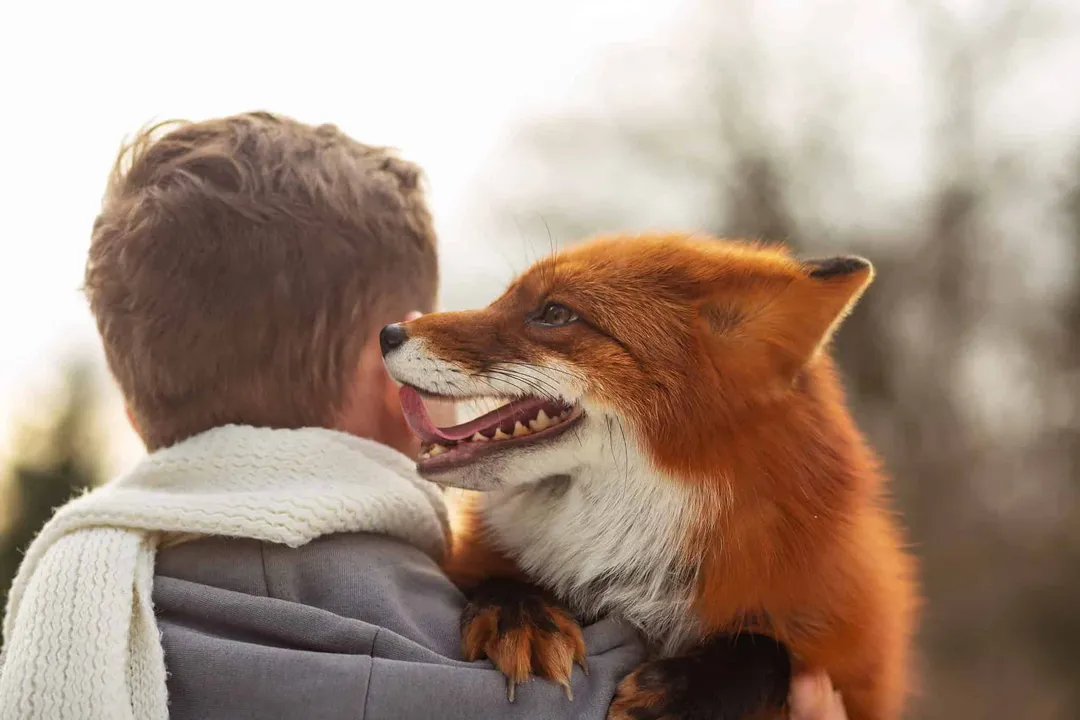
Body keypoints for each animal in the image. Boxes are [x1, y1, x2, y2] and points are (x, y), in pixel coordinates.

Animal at [380, 232, 918, 720]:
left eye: (554, 313)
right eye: (504, 298)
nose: (388, 334)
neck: (634, 568)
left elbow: (771, 650)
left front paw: (686, 695)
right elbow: (500, 578)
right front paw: (521, 616)